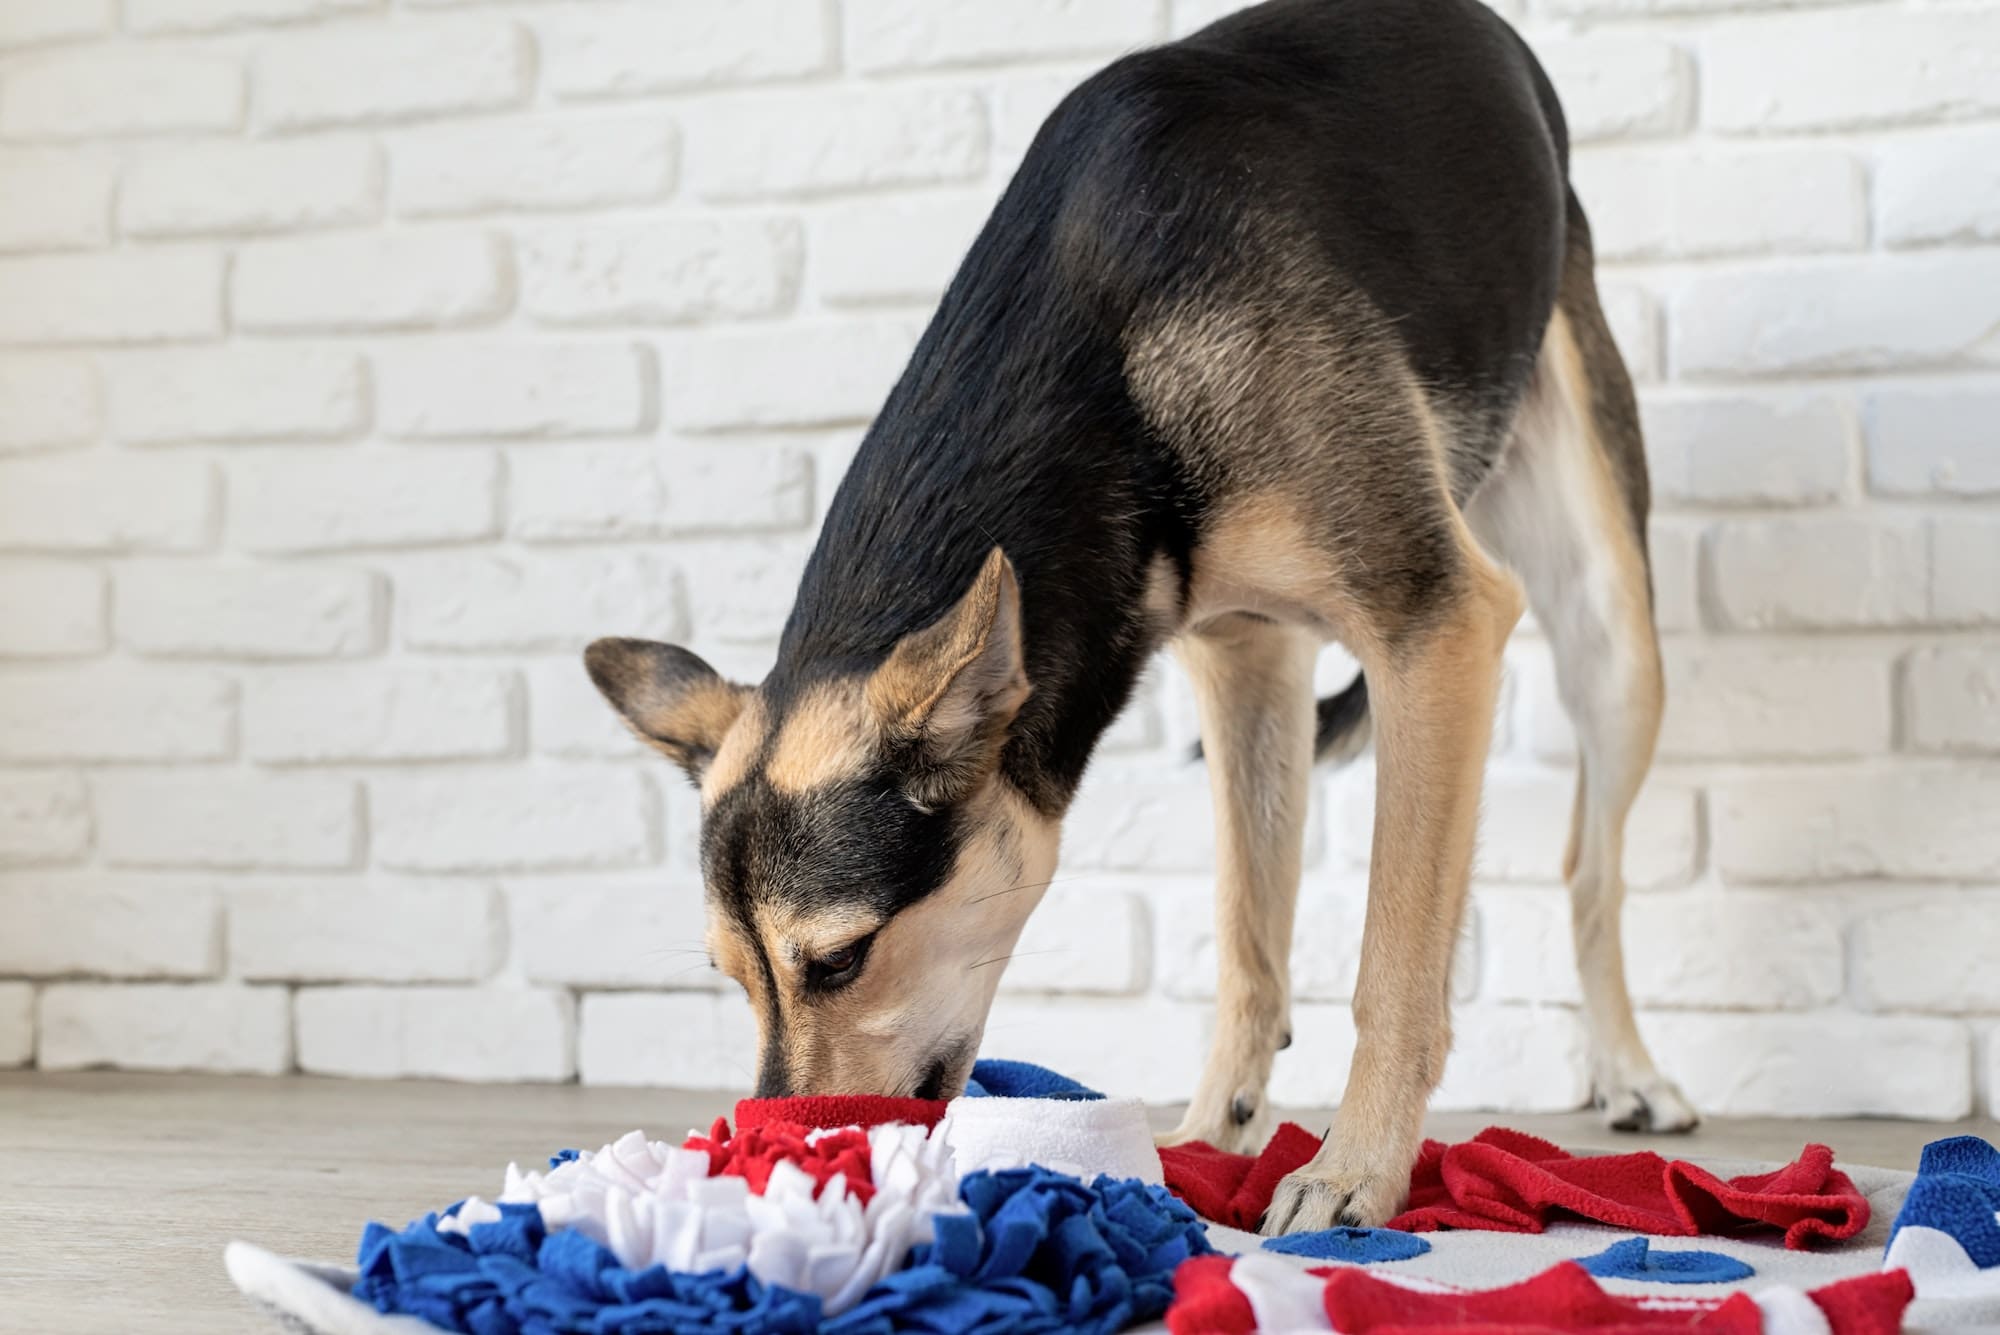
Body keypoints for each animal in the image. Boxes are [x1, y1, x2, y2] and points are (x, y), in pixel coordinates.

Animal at [584, 0, 1696, 1239]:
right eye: (733, 978)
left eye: (838, 960)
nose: (774, 1159)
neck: (1106, 352)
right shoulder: (1245, 660)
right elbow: (1248, 939)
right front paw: (1204, 1142)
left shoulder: (1435, 626)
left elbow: (1394, 963)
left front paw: (1354, 1169)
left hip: (1605, 624)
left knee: (1588, 865)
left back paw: (1628, 1071)